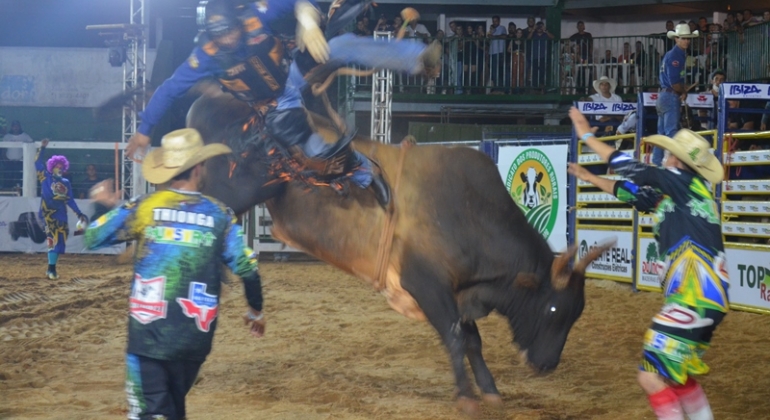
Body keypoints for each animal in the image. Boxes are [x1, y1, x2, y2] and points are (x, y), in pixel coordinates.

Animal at [170, 92, 612, 414]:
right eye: (553, 309)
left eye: (575, 314)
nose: (546, 365)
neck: (469, 213)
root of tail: (213, 101)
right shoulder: (426, 283)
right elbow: (456, 337)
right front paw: (466, 396)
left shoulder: (457, 291)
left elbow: (472, 339)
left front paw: (489, 391)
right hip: (233, 189)